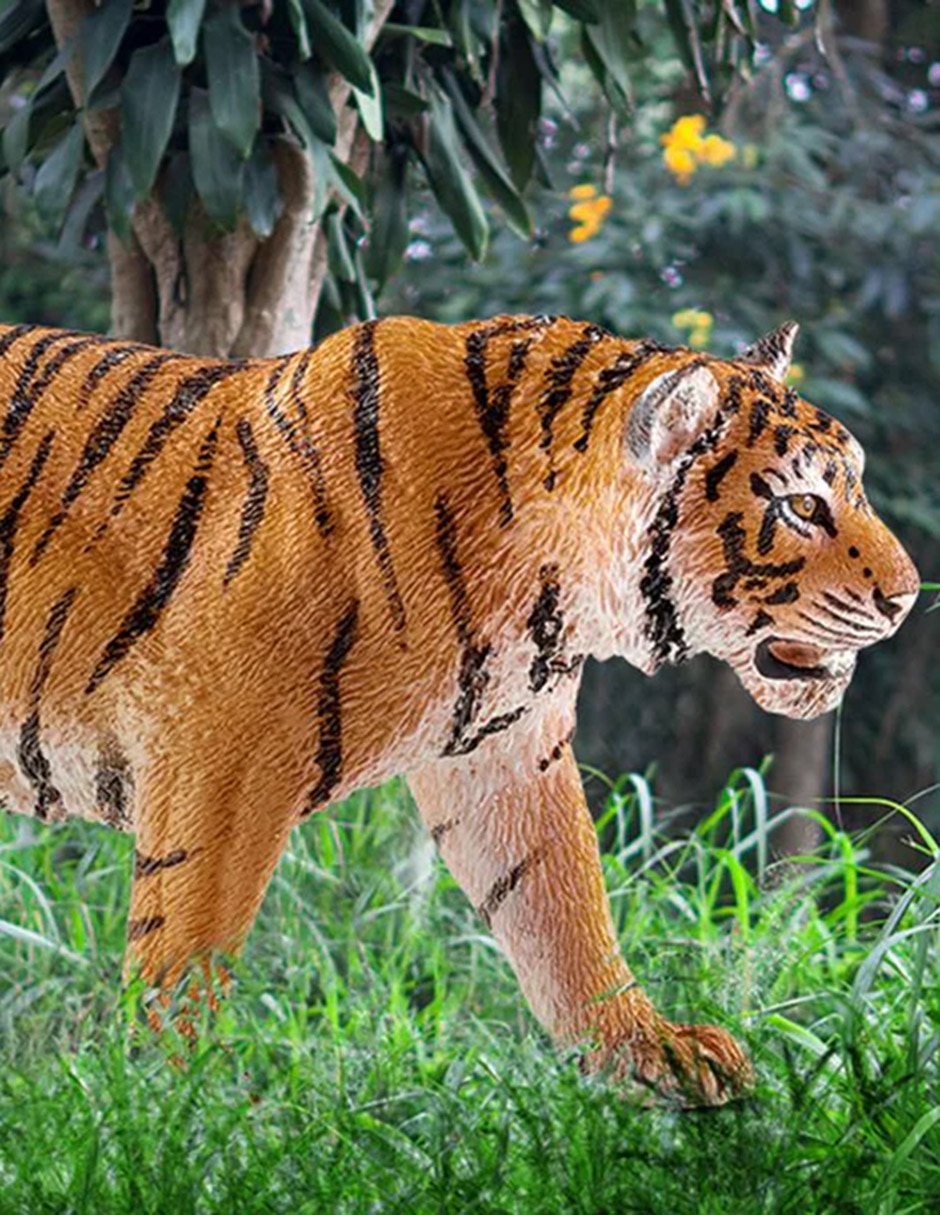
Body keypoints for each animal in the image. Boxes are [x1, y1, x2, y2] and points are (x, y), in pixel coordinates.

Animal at [0, 315, 919, 1106]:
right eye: (802, 506)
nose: (908, 597)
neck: (547, 585)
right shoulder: (215, 762)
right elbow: (186, 946)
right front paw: (167, 1110)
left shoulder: (510, 757)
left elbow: (564, 909)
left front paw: (646, 1051)